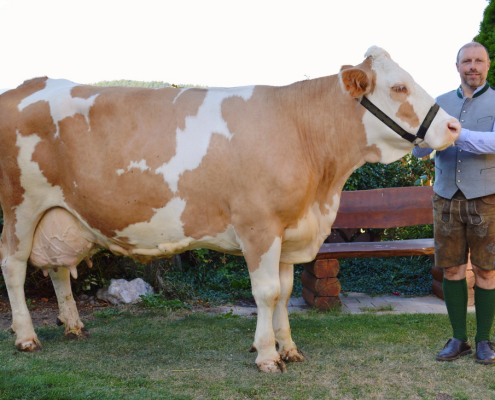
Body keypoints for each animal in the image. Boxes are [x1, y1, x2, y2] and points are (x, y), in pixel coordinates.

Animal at [0, 46, 462, 372]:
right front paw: (267, 355)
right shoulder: (259, 225)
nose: (454, 126)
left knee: (57, 269)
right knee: (14, 265)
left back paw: (73, 325)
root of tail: (25, 85)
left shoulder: (288, 229)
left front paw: (288, 348)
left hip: (60, 212)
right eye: (399, 87)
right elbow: (267, 292)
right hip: (20, 207)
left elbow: (285, 292)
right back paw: (25, 336)